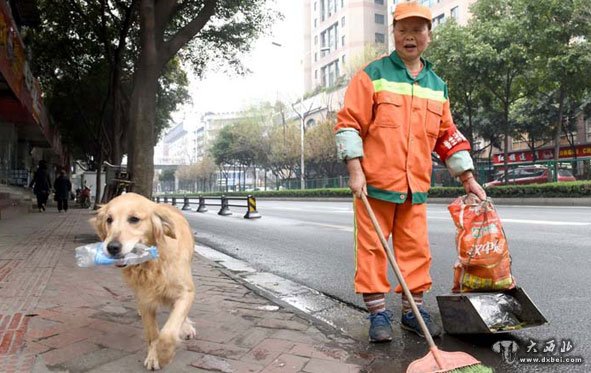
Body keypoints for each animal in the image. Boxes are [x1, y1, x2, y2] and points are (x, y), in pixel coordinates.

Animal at [91, 192, 195, 370]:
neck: (152, 261)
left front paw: (164, 355)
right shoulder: (146, 298)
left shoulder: (186, 291)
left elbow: (169, 332)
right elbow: (153, 333)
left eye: (134, 219)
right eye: (109, 219)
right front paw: (154, 356)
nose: (112, 247)